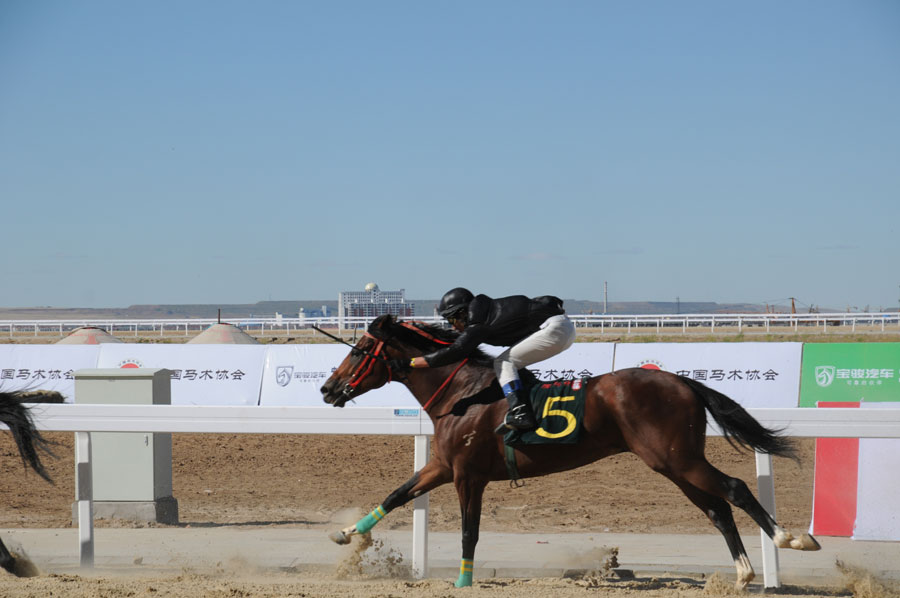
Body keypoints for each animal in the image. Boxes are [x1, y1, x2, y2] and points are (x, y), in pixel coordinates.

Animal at [320, 316, 820, 592]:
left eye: (360, 350)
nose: (327, 389)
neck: (464, 393)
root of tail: (681, 381)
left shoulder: (467, 475)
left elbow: (468, 531)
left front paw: (463, 580)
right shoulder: (444, 466)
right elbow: (397, 494)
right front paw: (347, 534)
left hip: (678, 460)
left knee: (734, 488)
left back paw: (791, 539)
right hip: (672, 464)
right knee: (717, 508)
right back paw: (742, 574)